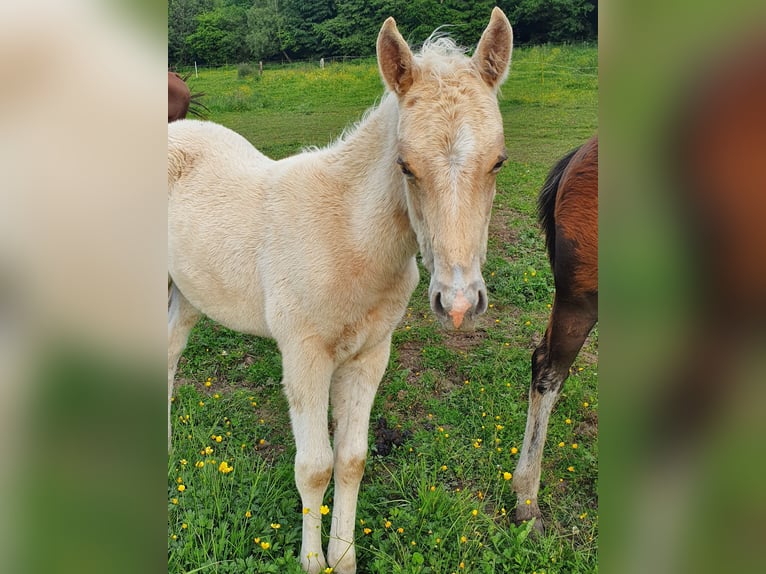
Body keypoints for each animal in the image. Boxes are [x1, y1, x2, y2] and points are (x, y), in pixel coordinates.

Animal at [169, 9, 516, 574]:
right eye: (405, 165)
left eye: (499, 161)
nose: (459, 302)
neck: (348, 239)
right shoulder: (303, 355)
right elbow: (314, 467)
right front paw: (313, 562)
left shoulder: (370, 354)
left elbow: (351, 460)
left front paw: (344, 556)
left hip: (187, 295)